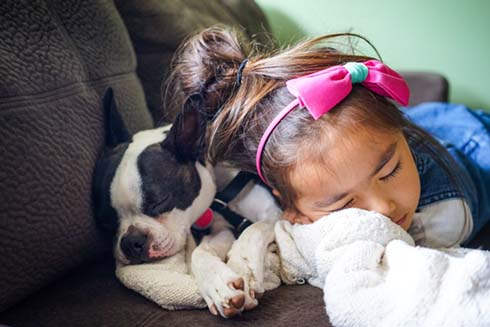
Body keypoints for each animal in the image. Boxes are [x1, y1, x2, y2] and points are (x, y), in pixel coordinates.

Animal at [93, 89, 282, 318]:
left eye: (160, 201)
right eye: (106, 221)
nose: (130, 242)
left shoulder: (275, 212)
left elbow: (253, 231)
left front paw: (243, 268)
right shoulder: (220, 227)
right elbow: (200, 252)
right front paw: (217, 285)